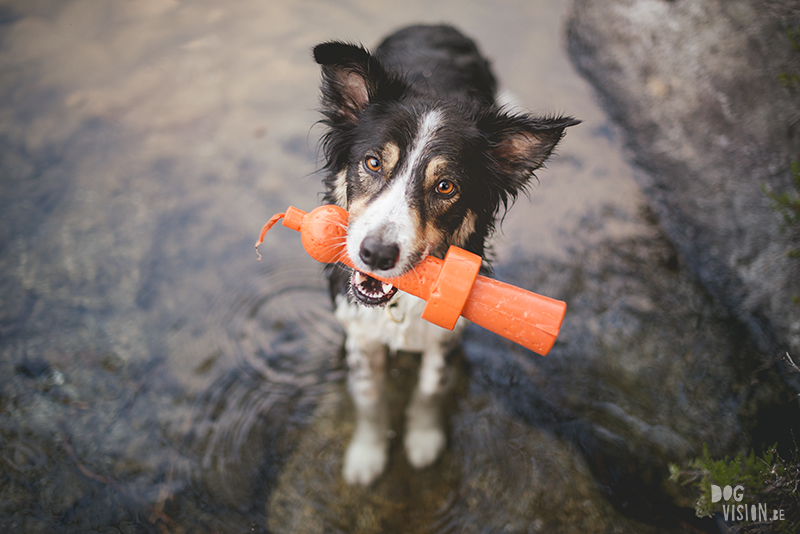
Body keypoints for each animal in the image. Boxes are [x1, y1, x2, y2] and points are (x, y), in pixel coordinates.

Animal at [310, 24, 580, 486]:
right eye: (372, 162)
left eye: (445, 187)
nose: (376, 254)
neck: (398, 305)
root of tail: (434, 24)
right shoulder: (359, 332)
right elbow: (368, 397)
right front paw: (367, 455)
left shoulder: (447, 335)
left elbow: (429, 391)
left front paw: (423, 441)